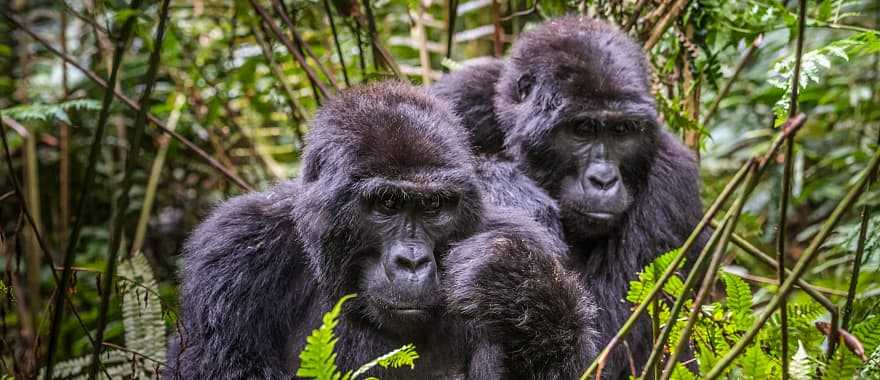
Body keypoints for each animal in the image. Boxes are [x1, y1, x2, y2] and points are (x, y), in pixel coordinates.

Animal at [168, 81, 600, 378]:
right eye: (387, 204)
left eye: (433, 207)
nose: (412, 261)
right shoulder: (235, 250)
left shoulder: (526, 236)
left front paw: (516, 287)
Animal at [434, 16, 708, 378]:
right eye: (582, 129)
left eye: (622, 132)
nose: (604, 180)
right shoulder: (460, 97)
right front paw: (506, 187)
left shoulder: (672, 186)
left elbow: (607, 353)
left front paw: (510, 276)